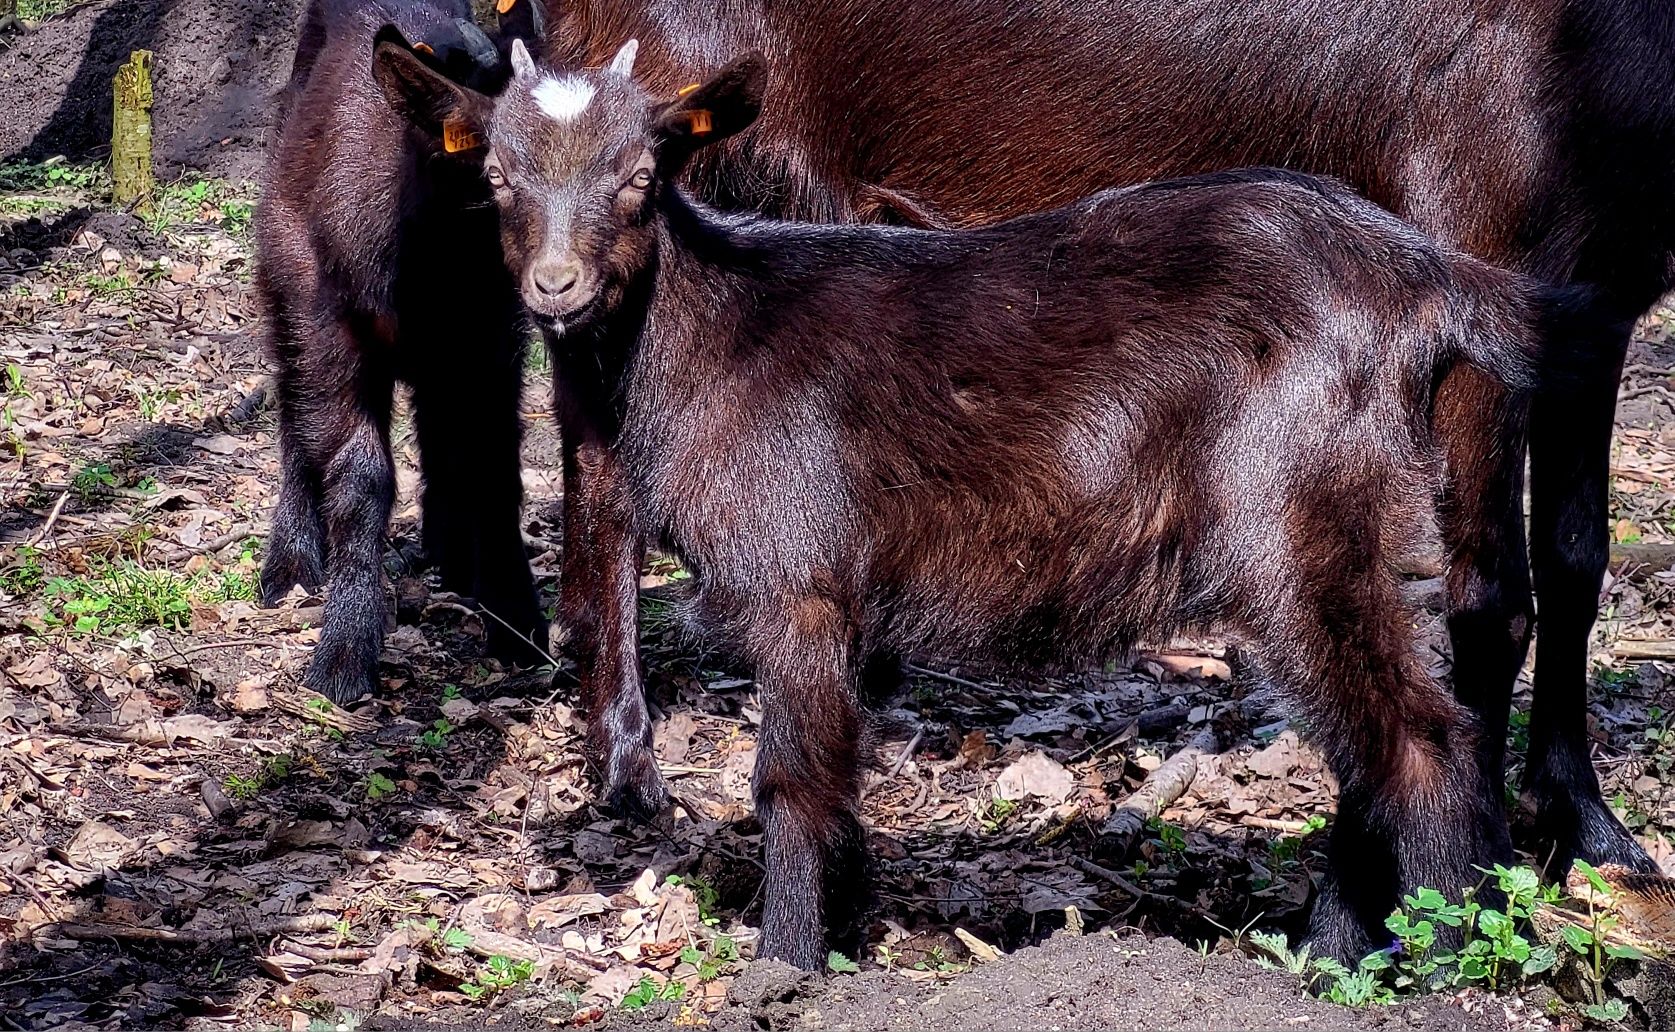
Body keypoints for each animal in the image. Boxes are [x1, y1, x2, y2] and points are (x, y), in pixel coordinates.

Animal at [254, 0, 546, 700]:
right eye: (495, 171)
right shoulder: (333, 325)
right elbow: (360, 476)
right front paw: (344, 651)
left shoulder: (492, 341)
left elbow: (495, 468)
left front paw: (520, 625)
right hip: (283, 284)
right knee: (294, 414)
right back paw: (290, 562)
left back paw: (450, 556)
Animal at [380, 44, 1608, 964]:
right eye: (497, 178)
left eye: (642, 173)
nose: (555, 289)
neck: (708, 333)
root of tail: (1420, 276)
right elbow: (839, 775)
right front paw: (846, 930)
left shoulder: (797, 580)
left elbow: (788, 784)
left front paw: (784, 966)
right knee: (1369, 733)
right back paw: (1330, 952)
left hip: (1297, 517)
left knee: (1417, 734)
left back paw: (1428, 956)